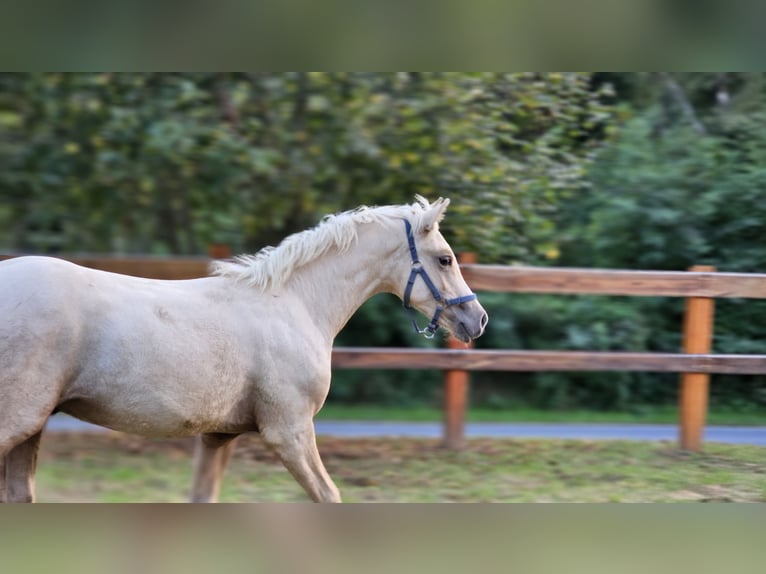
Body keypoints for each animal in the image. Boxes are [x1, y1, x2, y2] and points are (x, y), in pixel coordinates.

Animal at [0, 196, 488, 502]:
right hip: (19, 420)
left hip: (33, 426)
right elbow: (329, 495)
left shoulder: (219, 435)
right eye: (445, 258)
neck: (295, 303)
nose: (476, 319)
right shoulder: (288, 431)